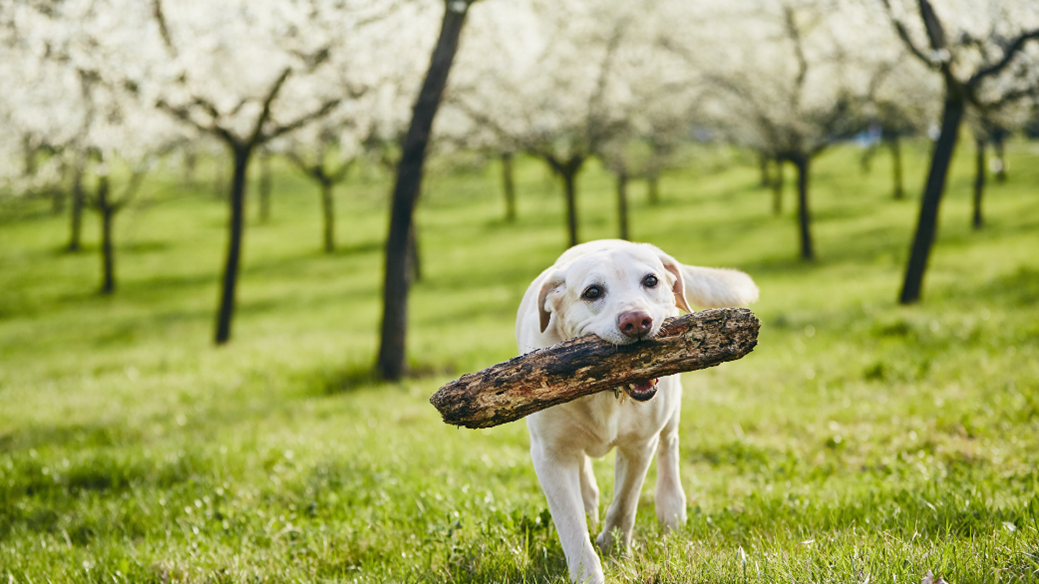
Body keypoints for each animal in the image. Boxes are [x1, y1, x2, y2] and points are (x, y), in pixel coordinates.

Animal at [515, 239, 760, 577]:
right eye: (592, 292)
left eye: (651, 280)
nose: (635, 321)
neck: (607, 392)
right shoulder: (549, 456)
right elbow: (572, 526)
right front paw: (588, 573)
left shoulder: (640, 444)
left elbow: (625, 502)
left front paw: (613, 548)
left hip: (670, 408)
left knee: (669, 446)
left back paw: (671, 509)